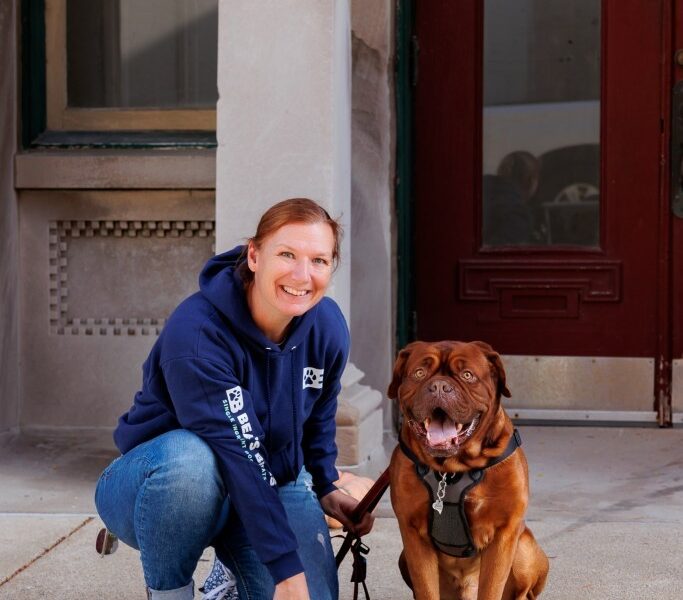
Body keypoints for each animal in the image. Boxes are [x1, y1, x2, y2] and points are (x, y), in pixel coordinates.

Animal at [388, 340, 548, 600]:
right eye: (419, 373)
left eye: (467, 375)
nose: (439, 386)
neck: (451, 470)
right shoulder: (412, 534)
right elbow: (425, 588)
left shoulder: (504, 532)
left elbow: (492, 587)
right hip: (404, 557)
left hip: (524, 548)